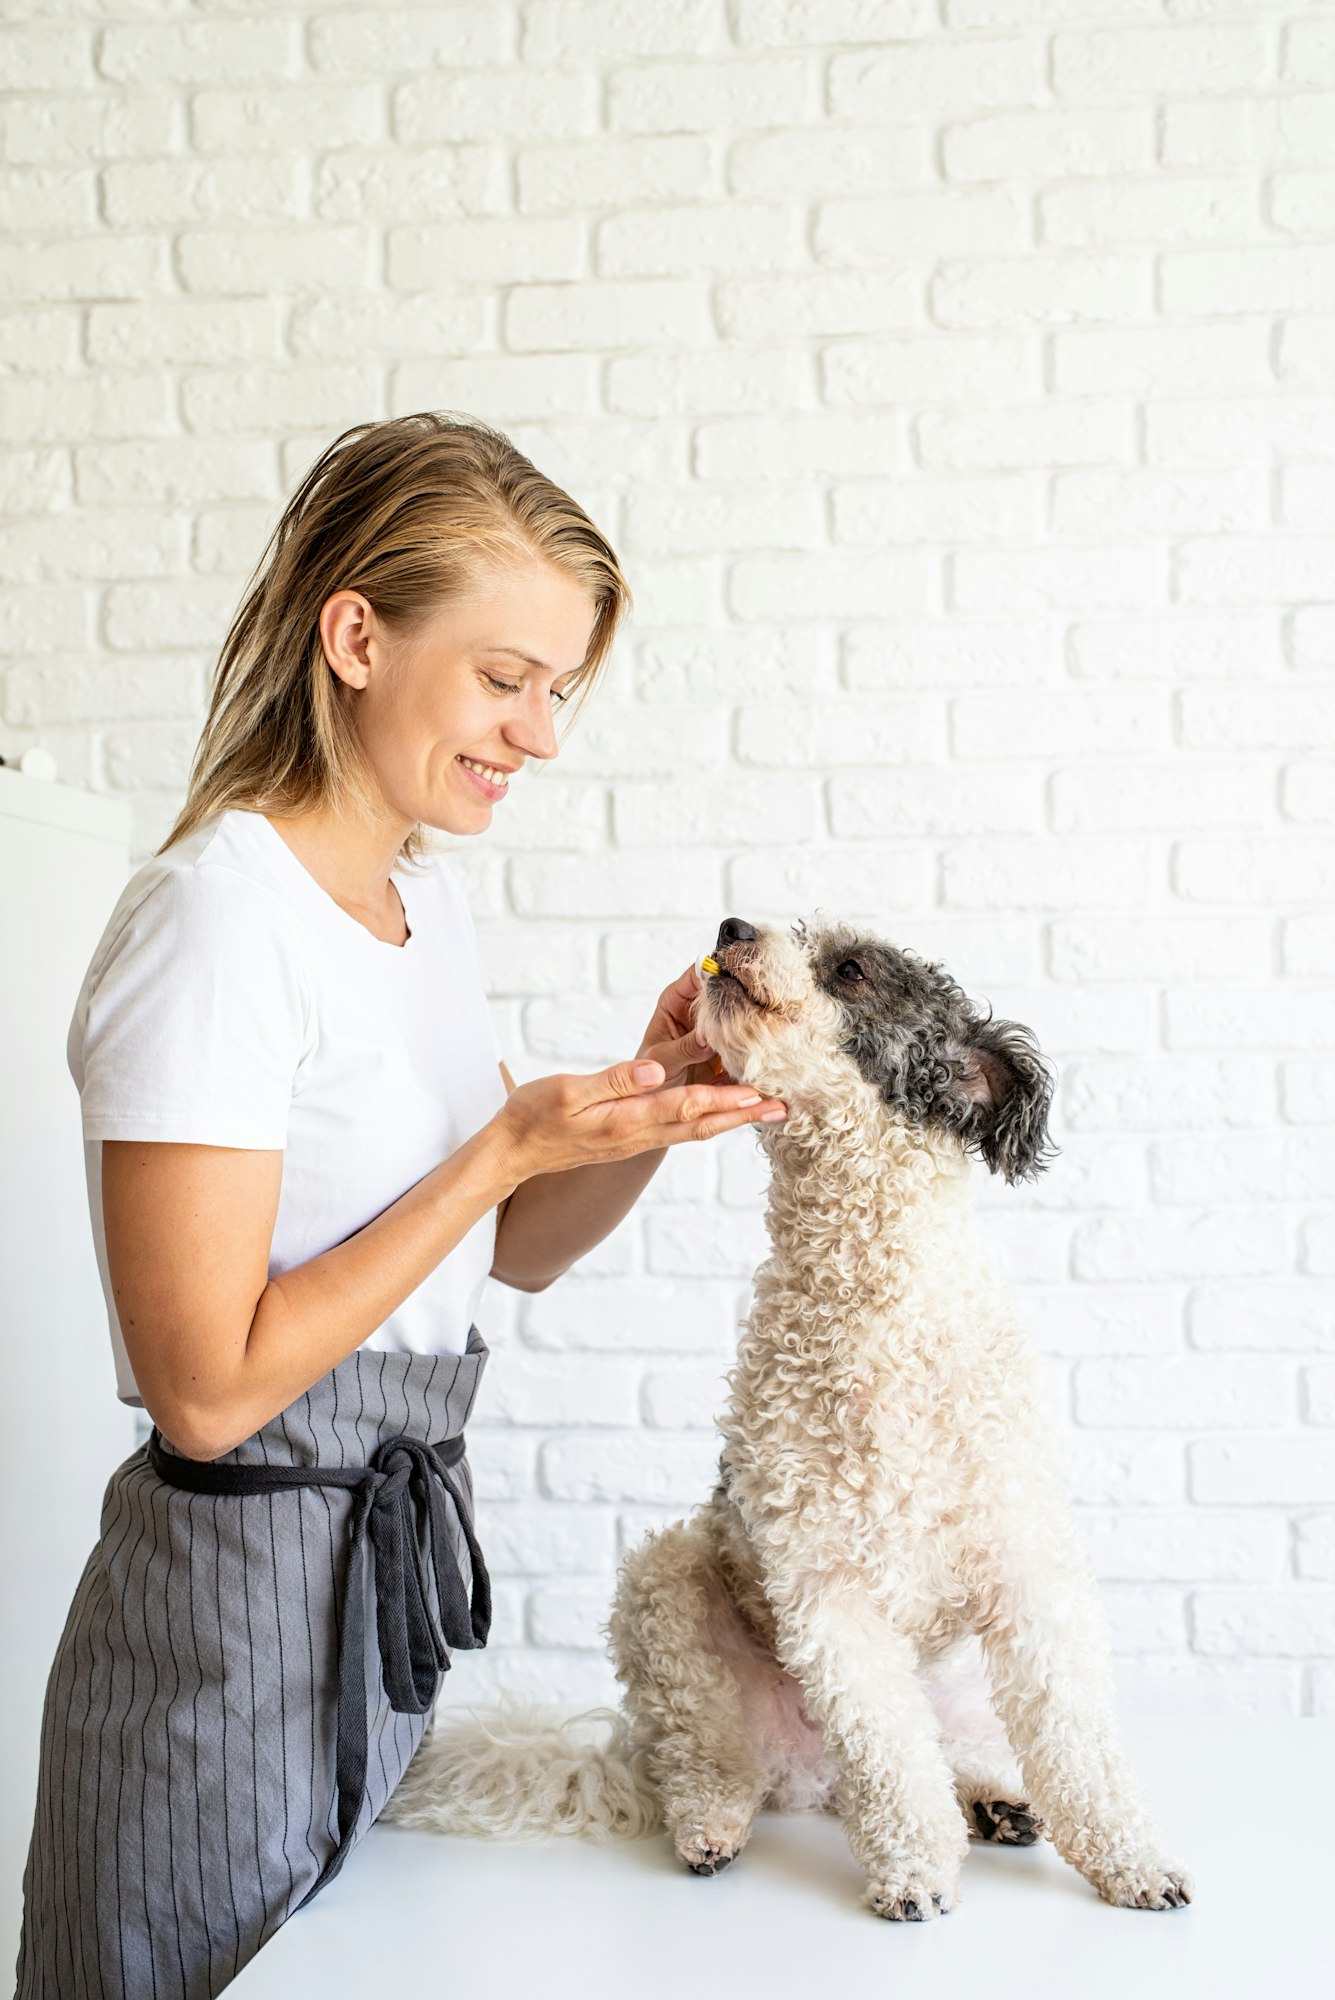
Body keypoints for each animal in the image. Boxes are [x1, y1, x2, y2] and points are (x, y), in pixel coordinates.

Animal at [385, 916, 1191, 1920]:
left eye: (851, 967)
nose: (731, 926)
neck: (874, 1305)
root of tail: (806, 1776)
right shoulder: (824, 1590)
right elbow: (889, 1760)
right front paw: (912, 1873)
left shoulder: (1024, 1570)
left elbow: (1077, 1742)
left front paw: (1132, 1860)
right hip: (665, 1592)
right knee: (712, 1756)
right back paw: (713, 1825)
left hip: (954, 1679)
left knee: (951, 1749)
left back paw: (995, 1799)